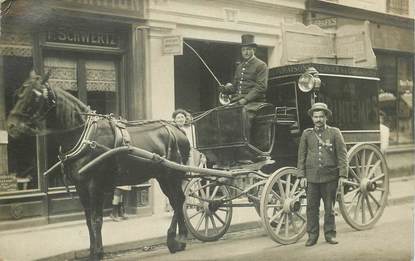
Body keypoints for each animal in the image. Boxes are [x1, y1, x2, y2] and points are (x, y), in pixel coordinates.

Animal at [6, 72, 192, 258]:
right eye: (18, 93)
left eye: (35, 96)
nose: (11, 126)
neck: (84, 135)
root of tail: (179, 131)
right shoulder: (81, 187)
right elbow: (88, 221)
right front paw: (93, 251)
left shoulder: (95, 186)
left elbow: (96, 220)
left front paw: (97, 253)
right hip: (163, 177)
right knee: (176, 202)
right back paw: (178, 239)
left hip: (172, 176)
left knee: (178, 201)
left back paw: (178, 238)